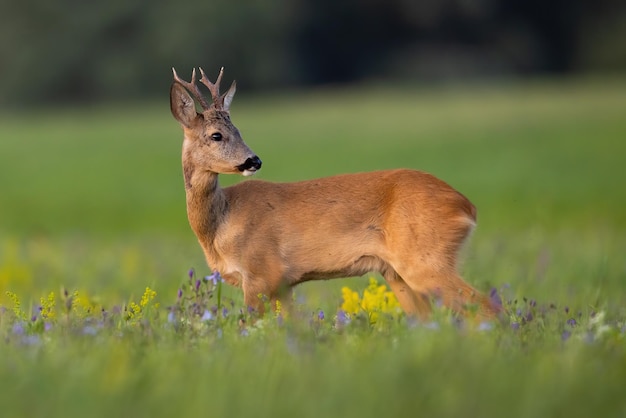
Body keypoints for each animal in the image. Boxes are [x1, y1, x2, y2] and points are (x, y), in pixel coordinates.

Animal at [169, 67, 498, 318]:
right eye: (217, 135)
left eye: (238, 131)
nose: (254, 161)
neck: (220, 226)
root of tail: (467, 207)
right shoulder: (282, 285)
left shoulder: (261, 273)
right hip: (396, 273)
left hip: (426, 260)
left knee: (487, 306)